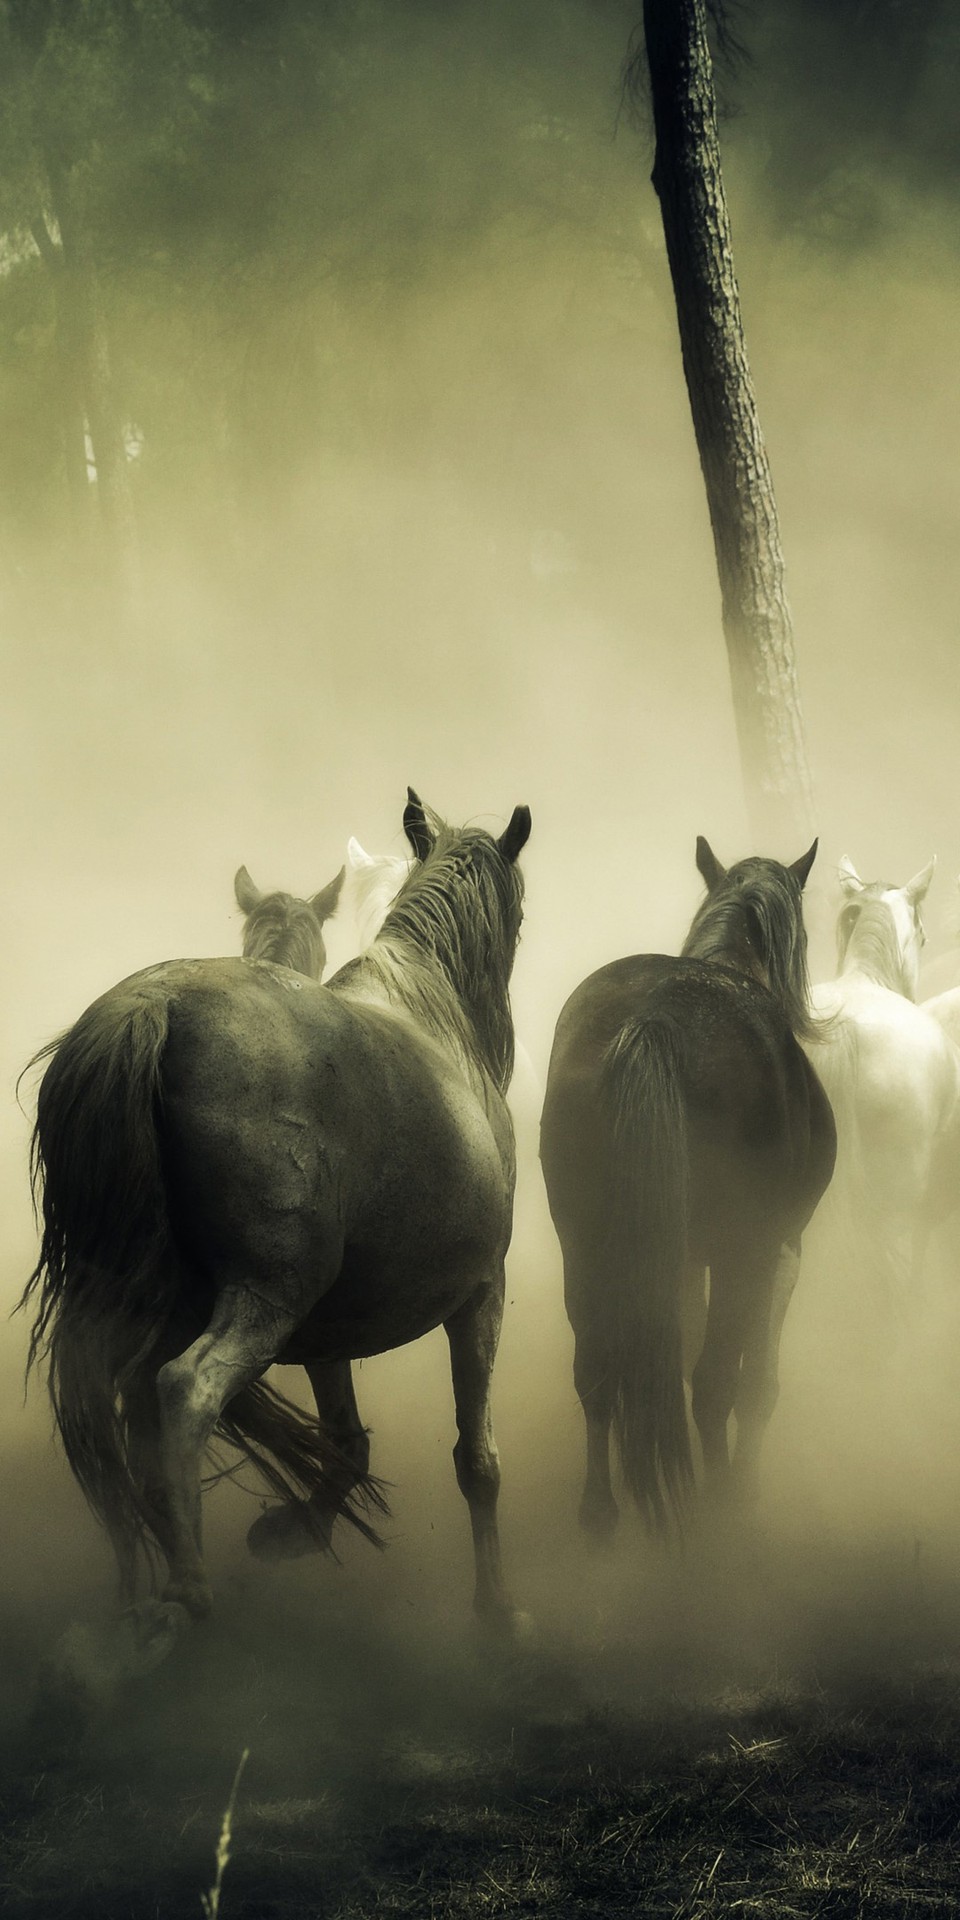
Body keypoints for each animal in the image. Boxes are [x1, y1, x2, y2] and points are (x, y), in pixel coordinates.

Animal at [21, 790, 532, 1639]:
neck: (435, 1015)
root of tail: (151, 1009)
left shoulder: (329, 1328)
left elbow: (347, 1443)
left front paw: (291, 1530)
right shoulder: (480, 1294)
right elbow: (478, 1461)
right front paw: (497, 1613)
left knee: (102, 1414)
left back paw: (136, 1596)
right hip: (266, 1299)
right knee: (181, 1391)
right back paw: (188, 1588)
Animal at [539, 836, 835, 1541]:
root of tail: (656, 1020)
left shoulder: (675, 1259)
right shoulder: (780, 1250)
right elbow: (757, 1386)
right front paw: (745, 1487)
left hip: (585, 1244)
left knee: (597, 1371)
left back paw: (600, 1512)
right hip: (737, 1251)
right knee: (714, 1384)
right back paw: (719, 1511)